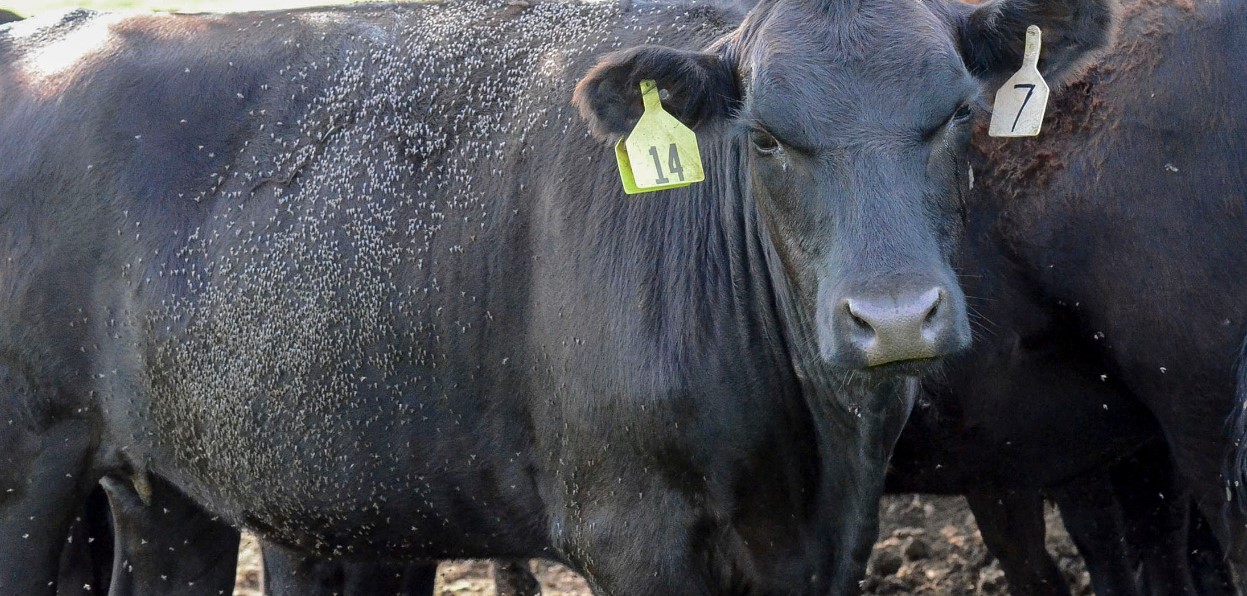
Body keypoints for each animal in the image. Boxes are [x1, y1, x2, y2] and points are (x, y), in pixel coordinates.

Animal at [0, 0, 1111, 592]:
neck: (806, 447)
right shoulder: (634, 531)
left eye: (956, 115)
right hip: (31, 463)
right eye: (762, 137)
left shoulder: (833, 540)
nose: (891, 317)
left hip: (169, 487)